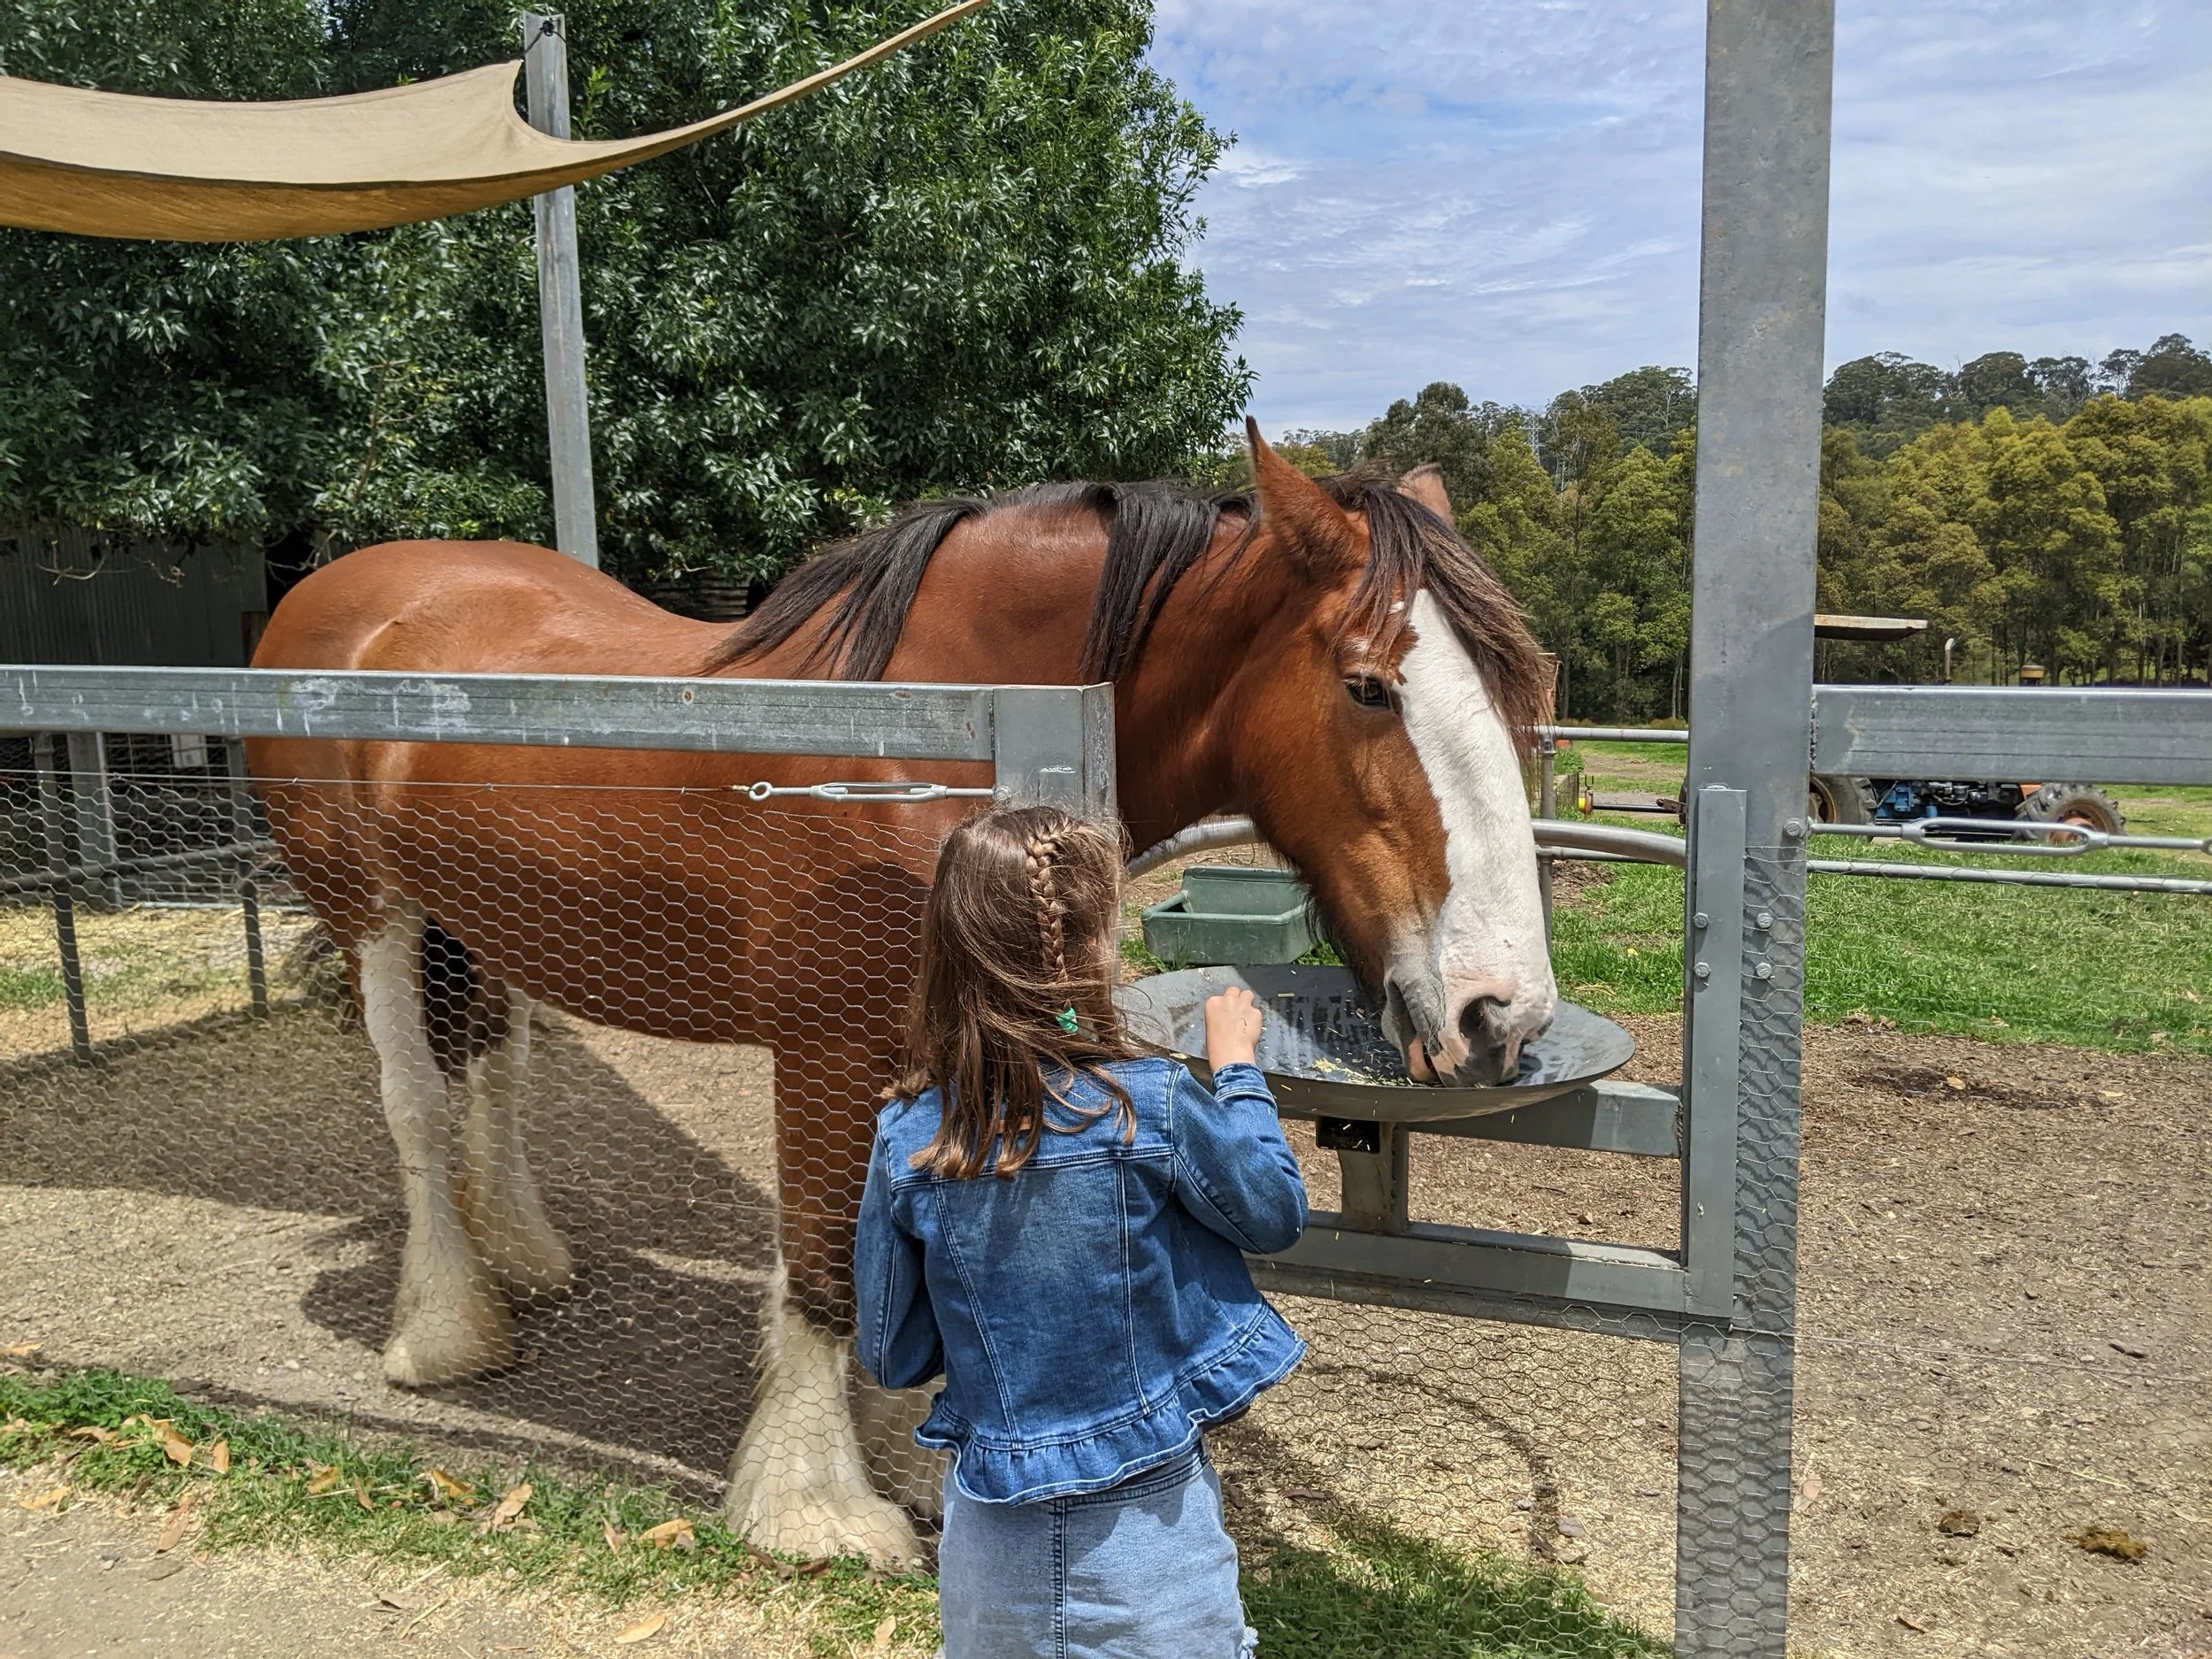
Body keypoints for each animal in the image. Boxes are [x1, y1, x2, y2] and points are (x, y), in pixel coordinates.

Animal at [245, 426, 1557, 1566]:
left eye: (1521, 690)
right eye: (1368, 686)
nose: (1503, 1016)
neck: (934, 729)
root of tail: (344, 595)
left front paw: (908, 1445)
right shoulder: (822, 1050)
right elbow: (826, 1262)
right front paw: (814, 1503)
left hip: (489, 926)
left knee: (496, 1075)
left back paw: (521, 1256)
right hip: (373, 914)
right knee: (416, 1106)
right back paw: (445, 1326)